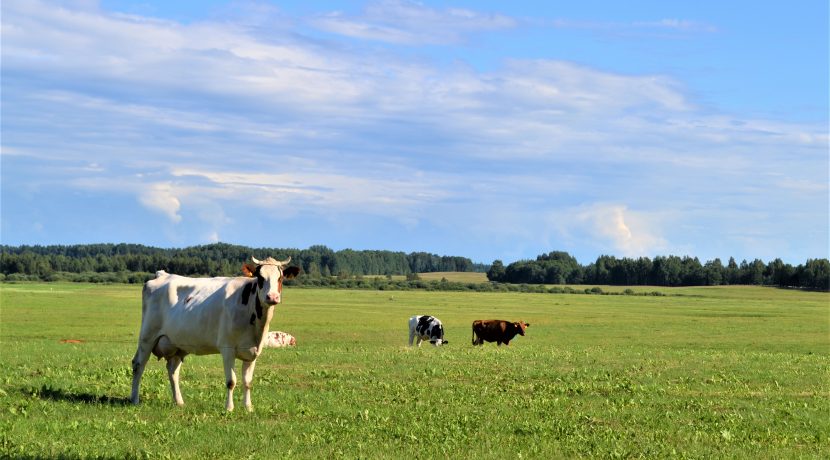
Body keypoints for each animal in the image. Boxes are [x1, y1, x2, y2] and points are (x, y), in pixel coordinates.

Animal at [130, 256, 300, 412]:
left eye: (280, 278)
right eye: (260, 277)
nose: (272, 297)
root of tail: (163, 274)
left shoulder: (253, 352)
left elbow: (247, 382)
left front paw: (248, 407)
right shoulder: (227, 349)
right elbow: (231, 381)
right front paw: (229, 408)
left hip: (177, 343)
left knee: (173, 371)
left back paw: (179, 401)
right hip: (147, 336)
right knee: (138, 365)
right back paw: (134, 399)